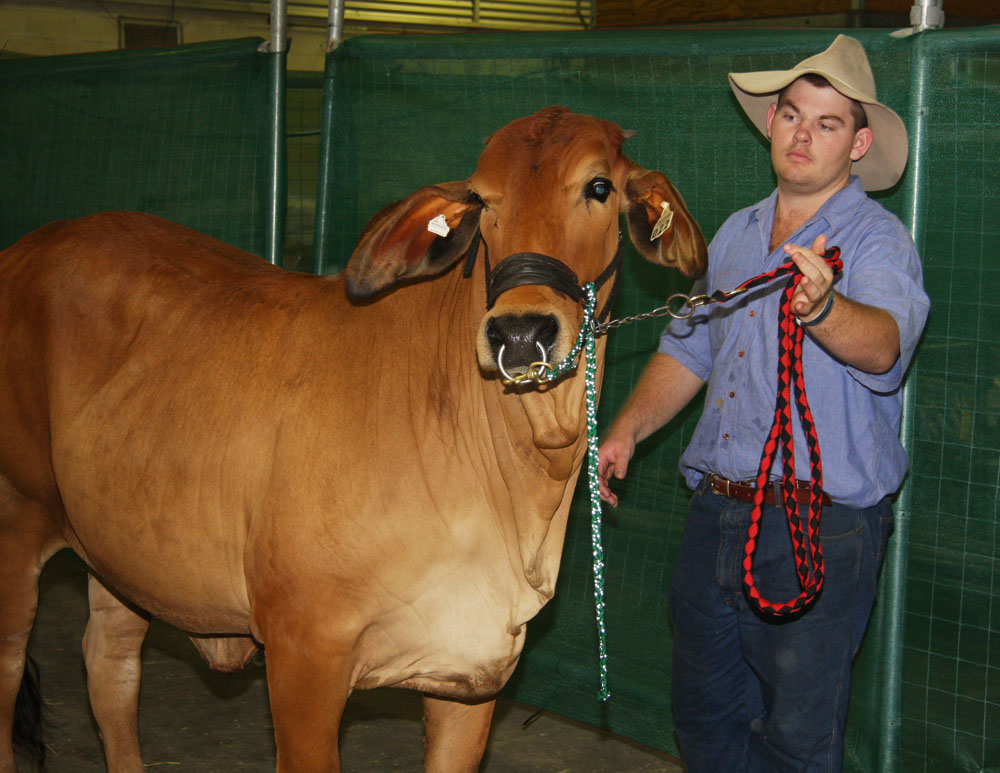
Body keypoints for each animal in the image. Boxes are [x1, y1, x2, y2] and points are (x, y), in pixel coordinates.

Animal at [0, 105, 708, 768]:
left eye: (598, 186)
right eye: (483, 200)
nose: (519, 332)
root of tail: (27, 248)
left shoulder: (475, 669)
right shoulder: (304, 653)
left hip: (118, 549)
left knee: (109, 664)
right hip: (18, 521)